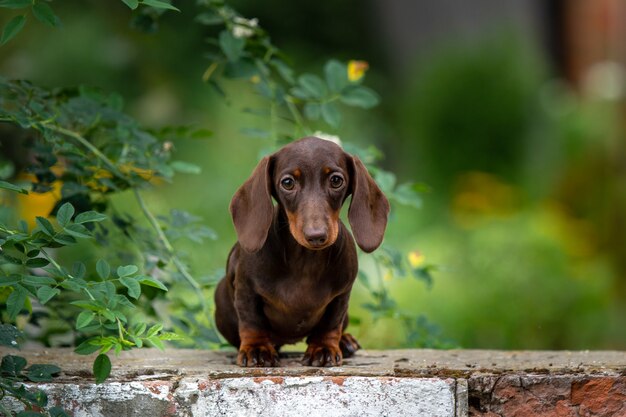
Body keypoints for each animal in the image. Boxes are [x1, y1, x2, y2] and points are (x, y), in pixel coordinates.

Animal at [214, 135, 390, 366]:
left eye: (336, 180)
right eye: (288, 182)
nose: (316, 236)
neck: (305, 261)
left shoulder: (342, 295)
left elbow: (331, 323)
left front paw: (323, 348)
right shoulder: (246, 289)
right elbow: (252, 322)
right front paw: (257, 349)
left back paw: (345, 341)